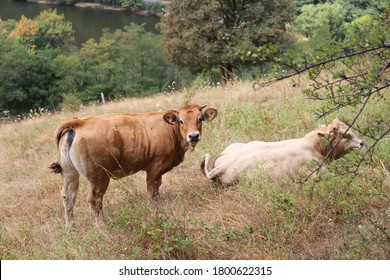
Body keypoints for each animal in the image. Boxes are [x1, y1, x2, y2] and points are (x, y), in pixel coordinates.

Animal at [49, 103, 216, 228]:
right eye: (181, 121)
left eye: (200, 119)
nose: (193, 136)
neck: (170, 129)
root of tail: (80, 122)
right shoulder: (155, 167)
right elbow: (152, 191)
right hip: (99, 177)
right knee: (94, 200)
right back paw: (102, 226)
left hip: (70, 174)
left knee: (68, 196)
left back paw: (70, 227)